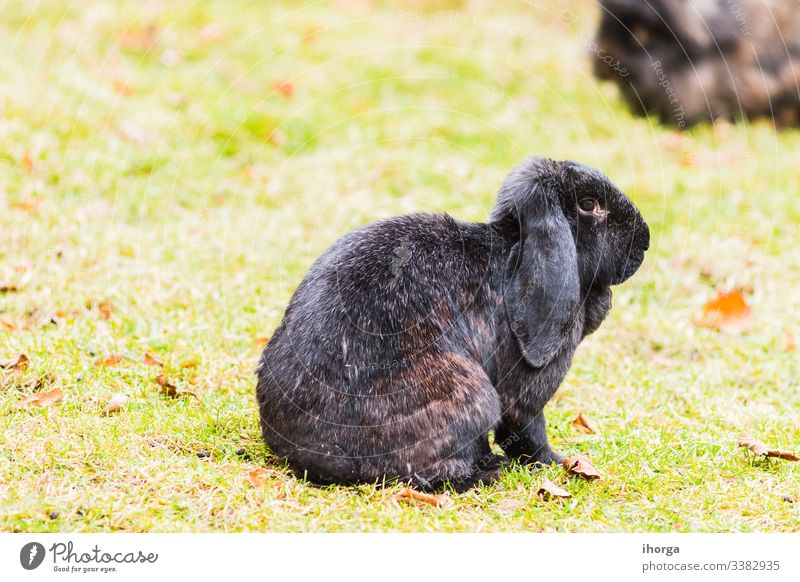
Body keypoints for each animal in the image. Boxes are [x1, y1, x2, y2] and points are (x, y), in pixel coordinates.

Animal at [256, 159, 648, 492]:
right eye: (588, 204)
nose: (644, 240)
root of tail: (304, 455)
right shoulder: (524, 396)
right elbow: (528, 431)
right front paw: (556, 462)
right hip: (470, 393)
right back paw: (490, 472)